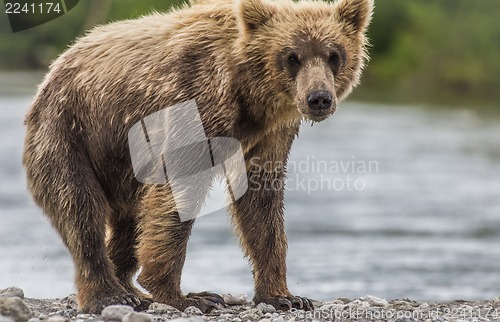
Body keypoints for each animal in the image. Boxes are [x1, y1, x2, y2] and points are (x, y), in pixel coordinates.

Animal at [23, 0, 374, 314]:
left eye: (334, 55)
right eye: (292, 57)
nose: (319, 98)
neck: (248, 96)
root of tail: (57, 65)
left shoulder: (270, 134)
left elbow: (262, 202)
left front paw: (285, 296)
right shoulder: (194, 101)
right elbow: (176, 193)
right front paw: (186, 295)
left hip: (121, 164)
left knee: (128, 219)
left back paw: (129, 289)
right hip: (72, 131)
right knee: (80, 209)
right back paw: (109, 295)